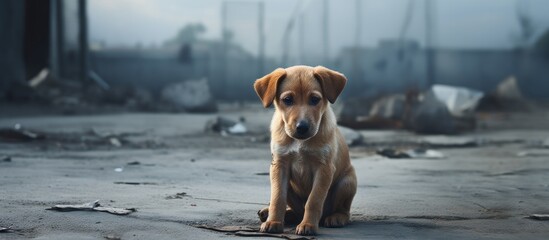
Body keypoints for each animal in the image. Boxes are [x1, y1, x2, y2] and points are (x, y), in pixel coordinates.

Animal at [255, 64, 358, 235]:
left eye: (315, 99)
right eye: (288, 100)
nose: (302, 127)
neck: (299, 142)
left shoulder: (324, 168)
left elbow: (314, 200)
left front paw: (308, 225)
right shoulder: (279, 165)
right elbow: (278, 197)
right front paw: (273, 221)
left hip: (346, 183)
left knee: (343, 210)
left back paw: (336, 217)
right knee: (296, 211)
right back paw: (271, 213)